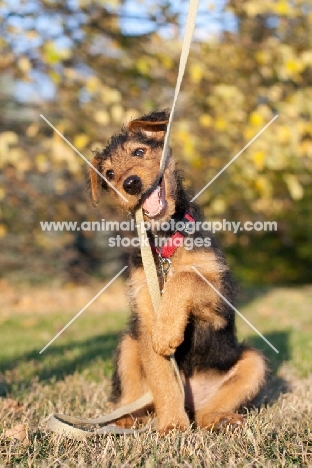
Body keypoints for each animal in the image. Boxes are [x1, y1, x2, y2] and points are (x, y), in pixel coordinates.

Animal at [88, 109, 266, 432]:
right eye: (109, 174)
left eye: (139, 151)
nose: (130, 184)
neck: (164, 241)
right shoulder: (145, 315)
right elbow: (163, 378)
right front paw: (172, 425)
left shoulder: (220, 298)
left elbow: (186, 276)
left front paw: (168, 330)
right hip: (128, 344)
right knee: (130, 398)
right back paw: (127, 420)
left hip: (253, 362)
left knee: (210, 410)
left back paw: (221, 418)